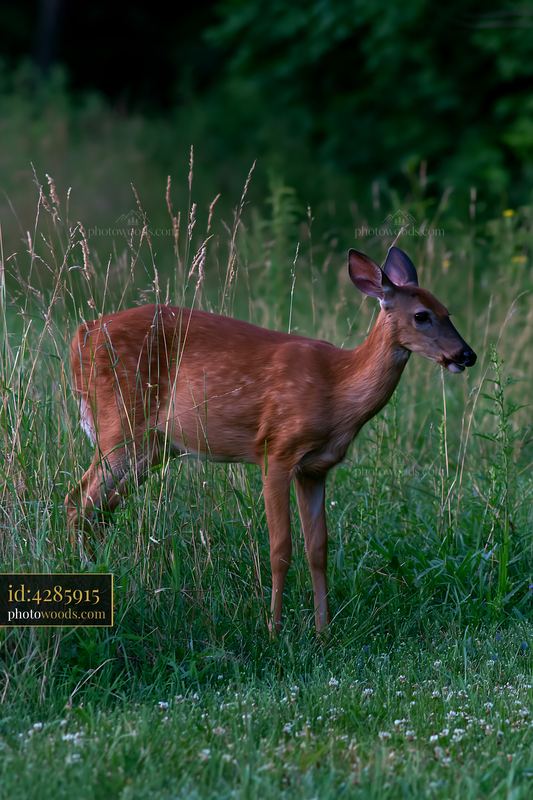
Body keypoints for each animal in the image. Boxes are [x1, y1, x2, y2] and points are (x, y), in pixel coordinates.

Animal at [65, 246, 476, 632]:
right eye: (422, 315)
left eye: (448, 311)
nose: (466, 354)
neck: (336, 388)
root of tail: (82, 335)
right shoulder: (276, 451)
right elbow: (280, 548)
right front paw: (274, 629)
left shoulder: (315, 468)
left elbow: (318, 548)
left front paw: (323, 631)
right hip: (118, 425)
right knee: (78, 499)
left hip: (153, 447)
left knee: (100, 508)